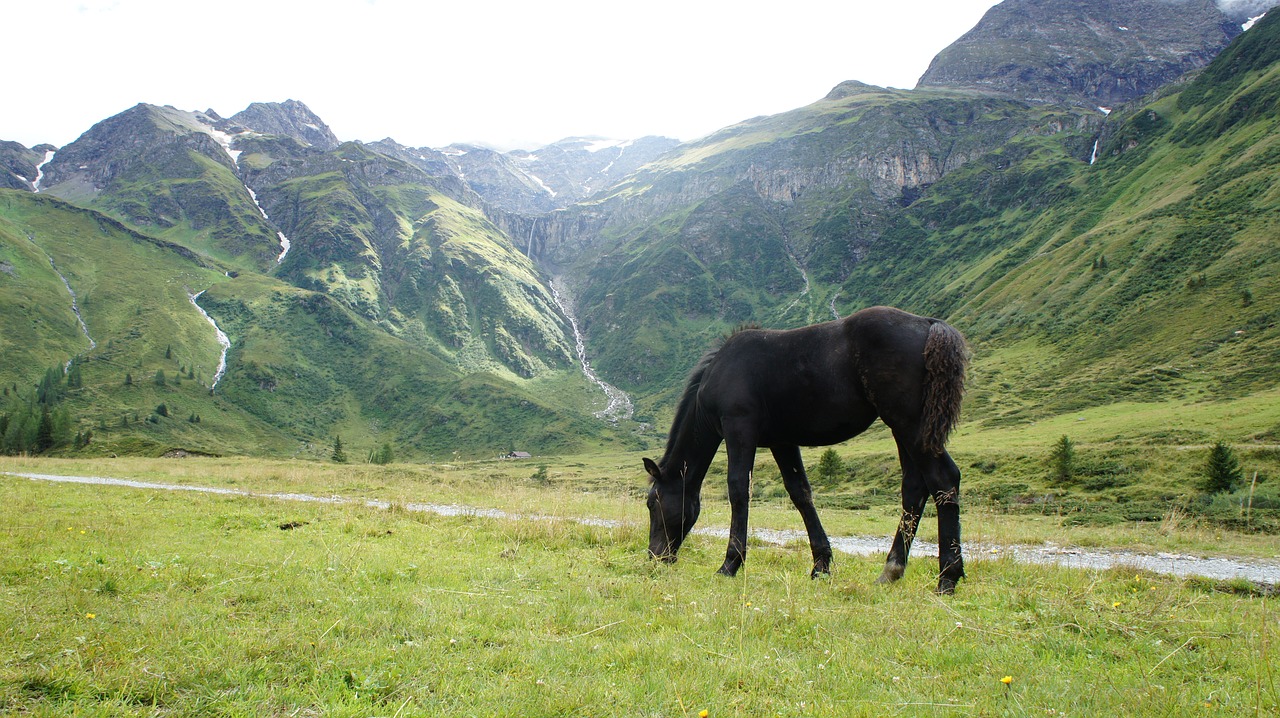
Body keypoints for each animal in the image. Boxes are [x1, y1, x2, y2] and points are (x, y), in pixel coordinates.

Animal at [645, 304, 962, 591]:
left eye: (652, 502)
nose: (655, 556)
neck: (720, 371)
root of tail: (928, 324)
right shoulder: (782, 442)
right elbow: (800, 494)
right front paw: (821, 566)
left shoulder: (739, 430)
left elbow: (738, 490)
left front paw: (730, 564)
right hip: (903, 428)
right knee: (914, 488)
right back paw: (891, 571)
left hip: (910, 424)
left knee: (943, 479)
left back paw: (947, 578)